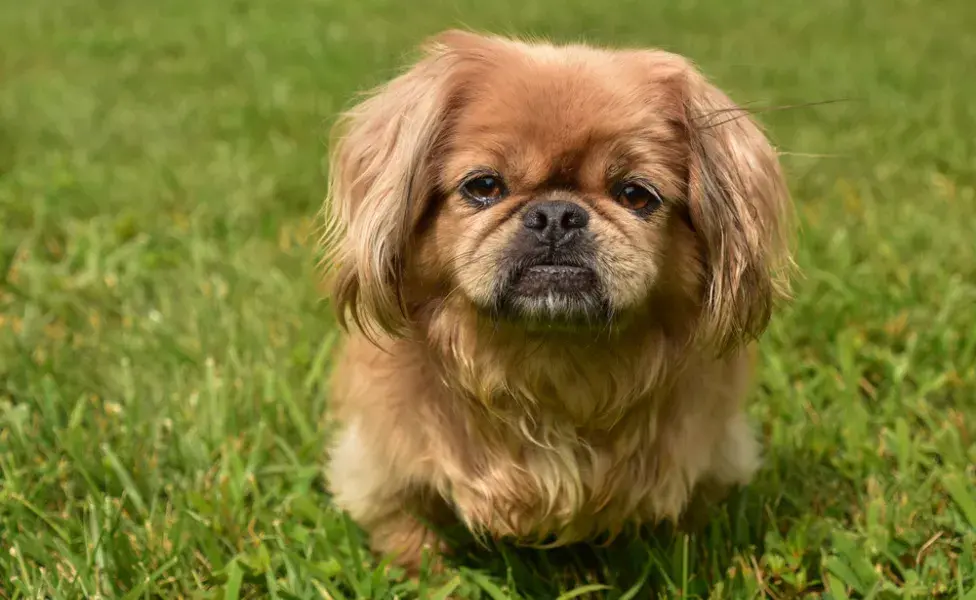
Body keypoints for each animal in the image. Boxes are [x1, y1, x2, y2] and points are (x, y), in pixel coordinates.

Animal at [320, 29, 792, 572]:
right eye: (484, 186)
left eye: (636, 195)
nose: (556, 215)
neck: (550, 364)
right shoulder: (385, 470)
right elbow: (410, 534)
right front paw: (429, 573)